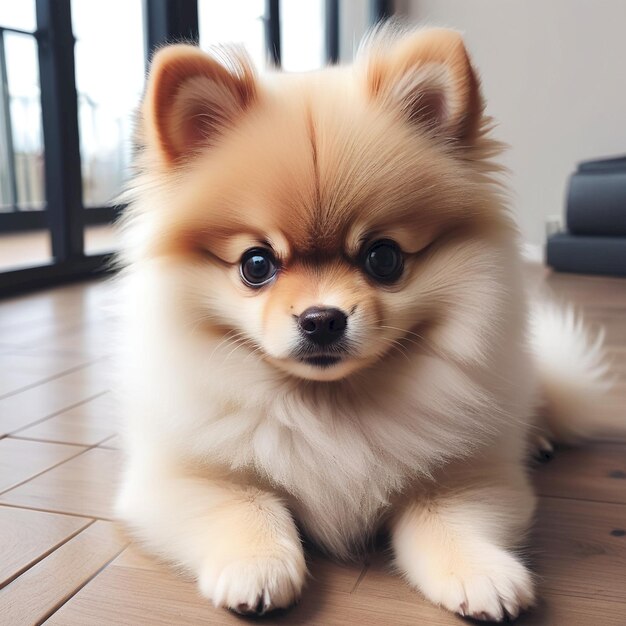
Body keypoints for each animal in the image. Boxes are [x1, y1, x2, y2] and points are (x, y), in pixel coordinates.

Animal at [114, 25, 608, 620]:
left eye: (384, 258)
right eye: (256, 264)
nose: (321, 319)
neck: (330, 409)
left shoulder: (470, 475)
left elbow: (451, 519)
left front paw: (482, 573)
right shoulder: (176, 477)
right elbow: (245, 503)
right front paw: (256, 567)